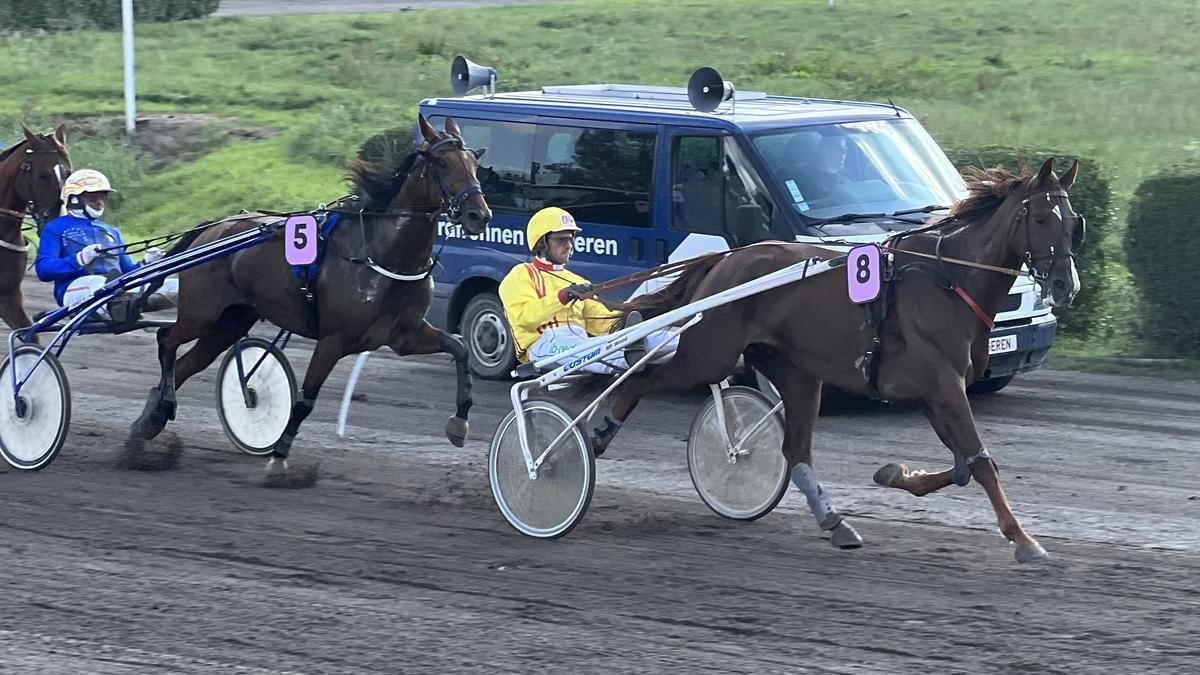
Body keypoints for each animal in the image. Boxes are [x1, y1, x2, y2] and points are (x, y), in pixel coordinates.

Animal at [129, 112, 489, 466]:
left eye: (473, 162)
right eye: (442, 163)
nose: (479, 215)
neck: (381, 253)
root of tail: (213, 227)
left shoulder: (404, 336)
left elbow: (459, 348)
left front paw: (460, 423)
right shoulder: (333, 339)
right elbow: (305, 400)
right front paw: (279, 453)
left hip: (231, 321)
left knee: (188, 364)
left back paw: (151, 417)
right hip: (202, 313)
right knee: (166, 340)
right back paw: (162, 406)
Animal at [595, 158, 1084, 562]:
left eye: (1074, 224)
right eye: (1041, 218)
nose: (1066, 284)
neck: (949, 280)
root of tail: (725, 260)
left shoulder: (936, 392)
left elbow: (964, 467)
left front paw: (894, 474)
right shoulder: (943, 387)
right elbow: (981, 464)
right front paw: (1024, 540)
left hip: (796, 374)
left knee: (795, 451)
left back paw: (835, 522)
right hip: (707, 355)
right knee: (640, 379)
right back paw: (600, 433)